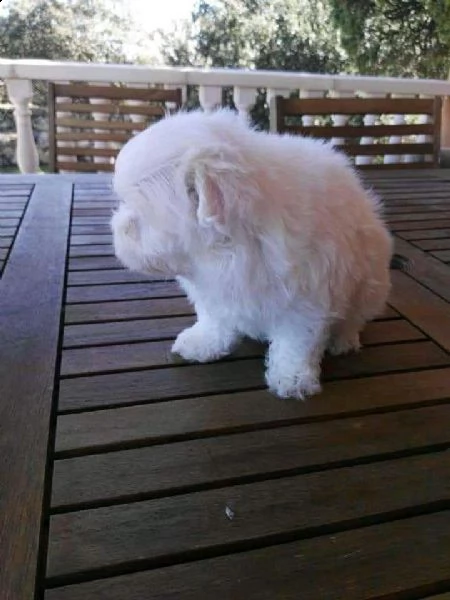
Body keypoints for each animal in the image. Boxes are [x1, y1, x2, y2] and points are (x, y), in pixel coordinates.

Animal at [110, 109, 392, 398]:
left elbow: (297, 340)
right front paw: (204, 342)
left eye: (139, 215)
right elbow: (214, 318)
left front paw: (292, 378)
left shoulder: (307, 297)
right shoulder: (214, 290)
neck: (229, 248)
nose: (116, 227)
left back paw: (343, 340)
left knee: (353, 319)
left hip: (370, 285)